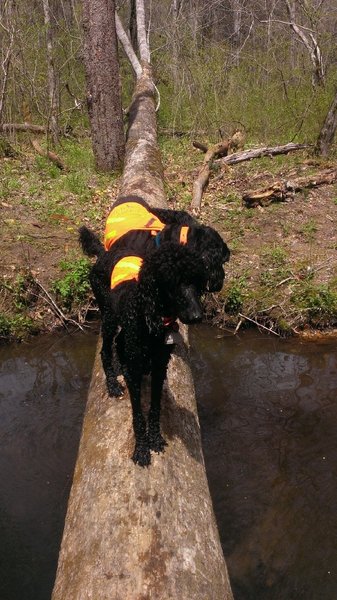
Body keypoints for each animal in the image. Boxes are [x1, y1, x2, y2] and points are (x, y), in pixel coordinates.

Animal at [80, 195, 230, 466]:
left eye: (195, 281)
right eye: (220, 260)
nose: (196, 316)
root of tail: (104, 255)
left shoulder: (161, 364)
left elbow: (155, 406)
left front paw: (155, 438)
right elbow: (138, 412)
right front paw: (141, 448)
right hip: (108, 316)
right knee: (106, 349)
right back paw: (112, 382)